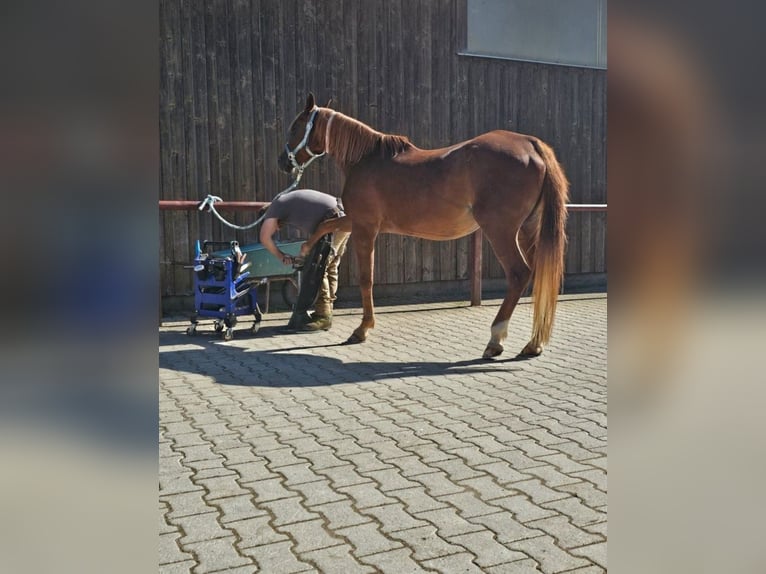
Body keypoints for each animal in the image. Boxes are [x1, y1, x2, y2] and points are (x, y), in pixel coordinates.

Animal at [280, 94, 568, 360]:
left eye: (295, 127)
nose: (284, 161)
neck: (366, 160)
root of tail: (530, 144)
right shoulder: (354, 220)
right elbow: (325, 224)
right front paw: (302, 253)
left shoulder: (364, 227)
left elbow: (366, 279)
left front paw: (363, 329)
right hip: (528, 229)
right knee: (540, 274)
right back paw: (534, 343)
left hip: (501, 231)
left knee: (519, 274)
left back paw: (495, 340)